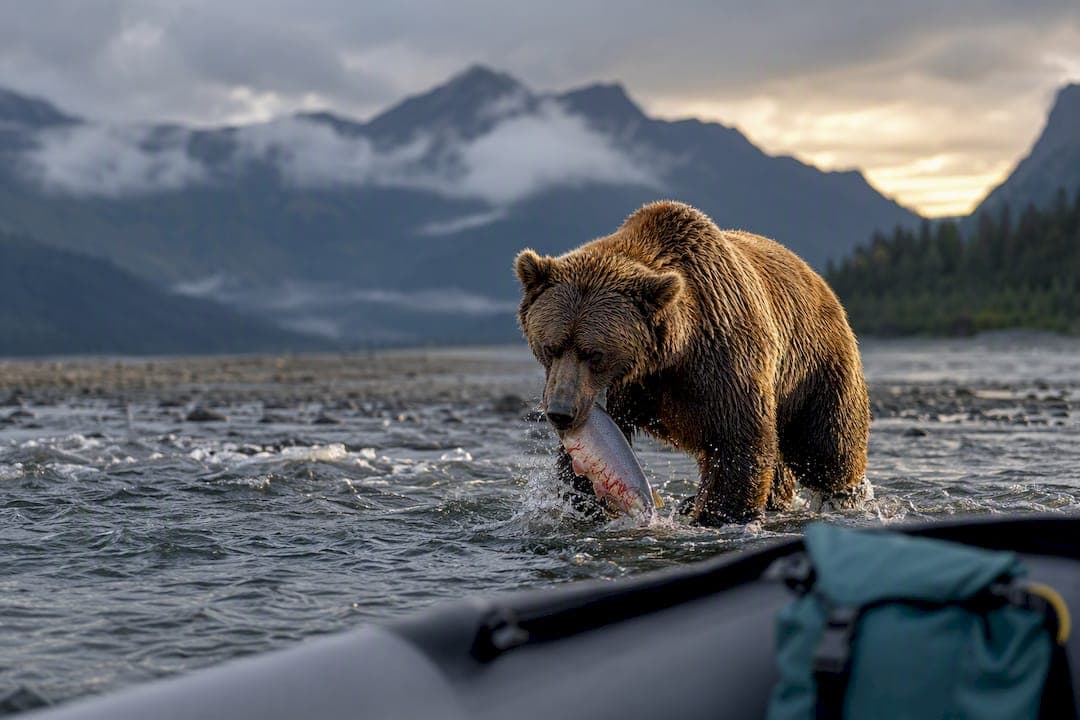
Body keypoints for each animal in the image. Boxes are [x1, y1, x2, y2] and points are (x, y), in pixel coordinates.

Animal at [514, 200, 870, 525]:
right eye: (550, 346)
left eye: (595, 353)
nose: (560, 412)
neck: (666, 356)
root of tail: (818, 280)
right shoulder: (626, 389)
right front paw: (584, 501)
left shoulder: (722, 358)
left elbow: (737, 440)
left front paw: (721, 514)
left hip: (815, 367)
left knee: (827, 448)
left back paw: (845, 497)